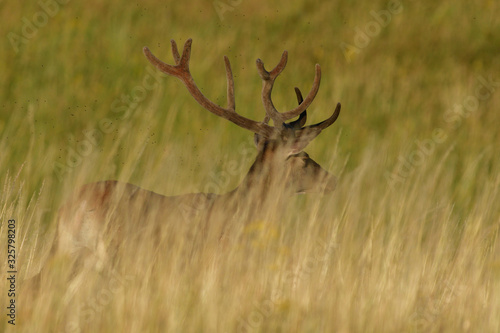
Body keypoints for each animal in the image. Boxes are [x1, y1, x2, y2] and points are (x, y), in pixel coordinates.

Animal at [49, 38, 340, 278]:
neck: (244, 213)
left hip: (69, 254)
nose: (332, 180)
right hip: (112, 253)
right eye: (303, 157)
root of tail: (73, 207)